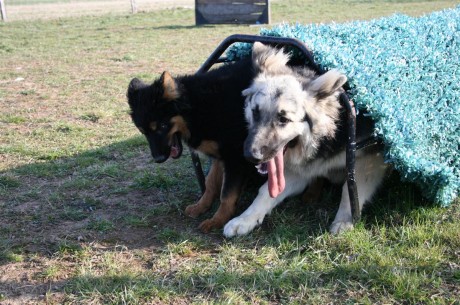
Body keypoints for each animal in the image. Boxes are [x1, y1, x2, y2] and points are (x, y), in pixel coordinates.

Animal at [223, 42, 388, 235]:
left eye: (284, 119)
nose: (251, 156)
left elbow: (350, 190)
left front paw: (344, 220)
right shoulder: (301, 171)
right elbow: (265, 192)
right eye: (255, 111)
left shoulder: (369, 161)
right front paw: (245, 219)